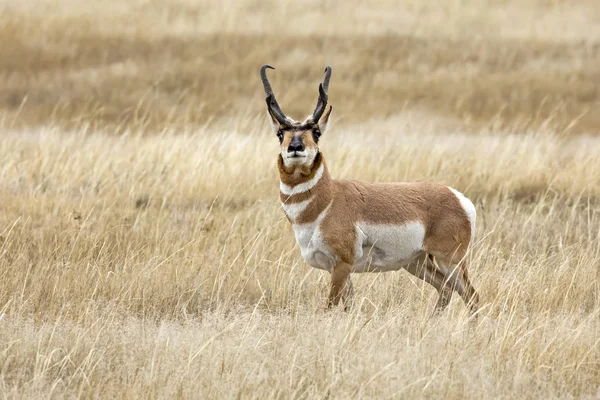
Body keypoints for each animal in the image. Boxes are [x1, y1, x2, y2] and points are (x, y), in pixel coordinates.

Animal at [260, 65, 480, 312]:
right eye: (280, 133)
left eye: (316, 132)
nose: (295, 146)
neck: (327, 200)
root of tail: (458, 197)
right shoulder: (338, 269)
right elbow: (348, 305)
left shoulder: (341, 264)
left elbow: (330, 306)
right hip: (417, 263)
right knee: (446, 289)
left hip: (449, 261)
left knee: (471, 295)